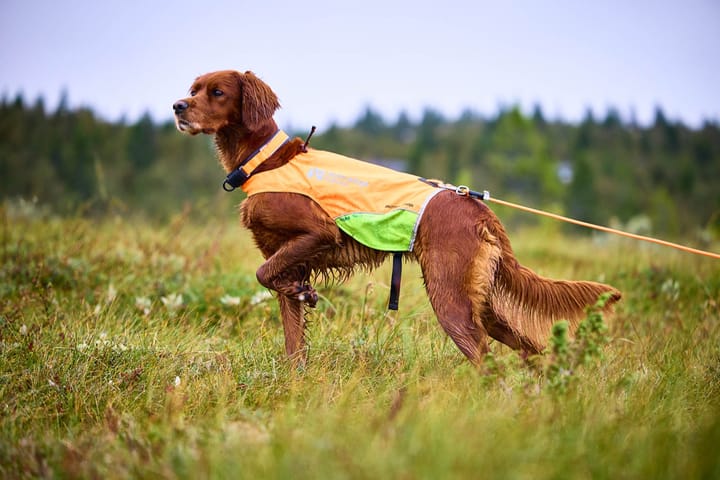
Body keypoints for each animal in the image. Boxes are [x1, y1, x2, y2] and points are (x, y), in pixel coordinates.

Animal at [173, 69, 620, 366]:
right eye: (193, 89)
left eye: (217, 91)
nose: (177, 106)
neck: (264, 161)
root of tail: (476, 206)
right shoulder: (288, 257)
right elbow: (291, 332)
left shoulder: (317, 233)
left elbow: (264, 274)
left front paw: (307, 293)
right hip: (485, 302)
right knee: (528, 349)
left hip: (451, 300)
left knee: (487, 361)